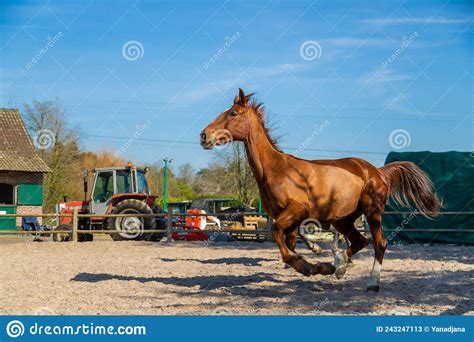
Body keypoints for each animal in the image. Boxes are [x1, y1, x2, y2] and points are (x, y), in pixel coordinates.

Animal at [199, 88, 440, 292]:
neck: (276, 170)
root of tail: (376, 171)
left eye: (233, 113)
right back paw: (339, 266)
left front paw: (306, 266)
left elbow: (279, 235)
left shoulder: (297, 211)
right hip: (342, 219)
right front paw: (318, 264)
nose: (204, 135)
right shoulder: (287, 218)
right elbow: (289, 241)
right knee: (360, 241)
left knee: (379, 243)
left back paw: (370, 282)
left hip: (372, 211)